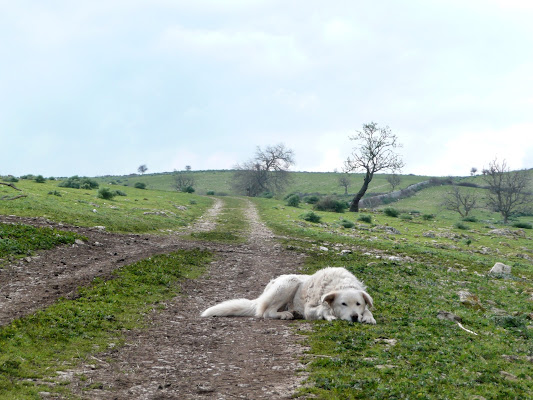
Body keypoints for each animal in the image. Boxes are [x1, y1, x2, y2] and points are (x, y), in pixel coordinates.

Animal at [200, 268, 374, 324]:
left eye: (358, 304)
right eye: (343, 304)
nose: (354, 317)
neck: (340, 283)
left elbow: (368, 310)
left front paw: (368, 317)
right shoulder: (310, 309)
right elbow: (322, 310)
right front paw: (330, 315)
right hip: (290, 282)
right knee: (266, 312)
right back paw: (285, 314)